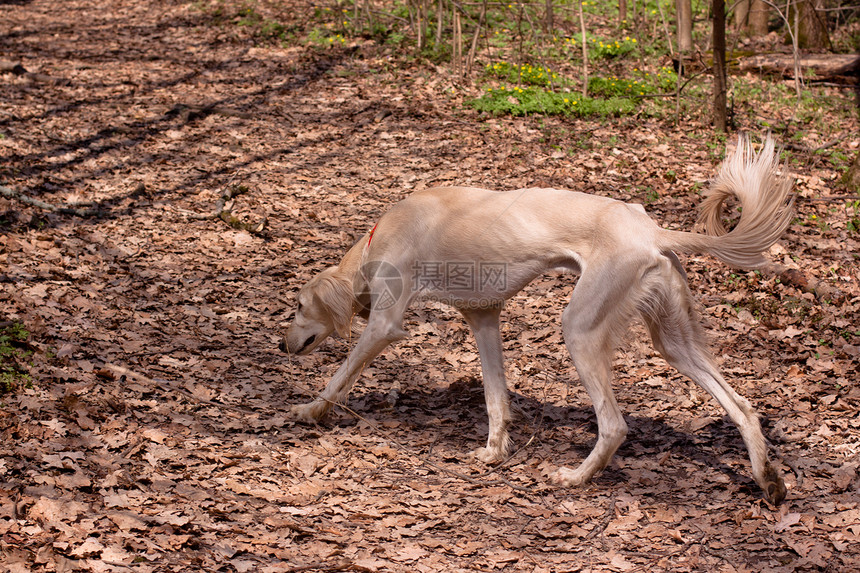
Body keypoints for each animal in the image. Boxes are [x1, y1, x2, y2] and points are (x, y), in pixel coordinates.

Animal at [286, 136, 796, 502]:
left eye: (298, 306)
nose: (280, 345)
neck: (379, 238)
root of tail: (652, 229)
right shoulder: (483, 318)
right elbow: (496, 398)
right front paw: (494, 451)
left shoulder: (384, 326)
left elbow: (341, 375)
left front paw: (310, 410)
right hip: (673, 340)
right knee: (742, 406)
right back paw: (768, 479)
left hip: (580, 328)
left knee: (614, 425)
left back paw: (576, 477)